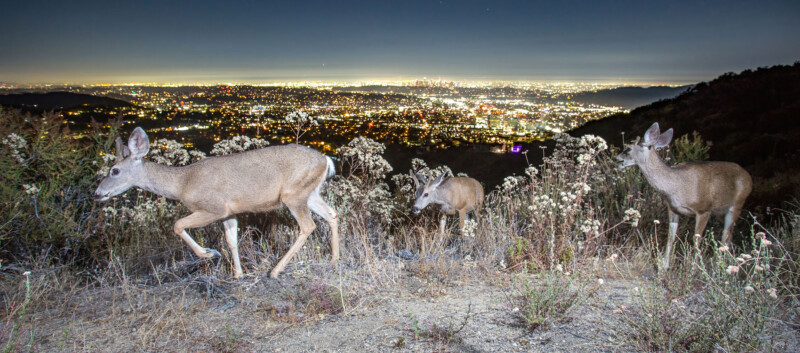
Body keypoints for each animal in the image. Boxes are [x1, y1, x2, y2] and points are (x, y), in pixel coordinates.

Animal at [93, 126, 338, 278]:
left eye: (114, 170)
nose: (97, 194)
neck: (182, 183)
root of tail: (325, 159)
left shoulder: (213, 208)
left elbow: (177, 225)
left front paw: (208, 253)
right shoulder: (229, 213)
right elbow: (231, 241)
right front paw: (238, 274)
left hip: (293, 195)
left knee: (308, 225)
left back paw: (275, 271)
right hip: (309, 193)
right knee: (332, 214)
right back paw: (334, 258)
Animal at [616, 122, 752, 268]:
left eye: (628, 148)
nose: (616, 158)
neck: (676, 186)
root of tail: (749, 178)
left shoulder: (704, 209)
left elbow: (696, 240)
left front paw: (693, 267)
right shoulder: (673, 209)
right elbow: (671, 237)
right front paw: (664, 266)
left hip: (736, 205)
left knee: (726, 235)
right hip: (720, 212)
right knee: (729, 236)